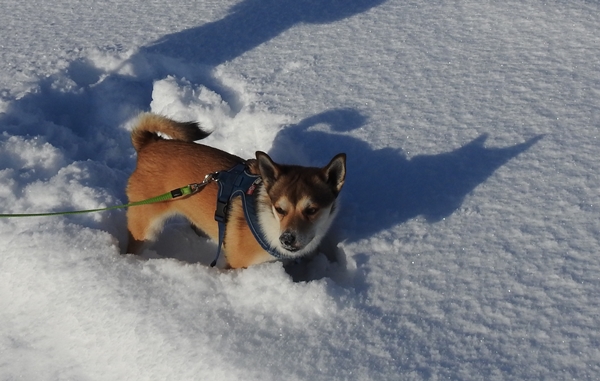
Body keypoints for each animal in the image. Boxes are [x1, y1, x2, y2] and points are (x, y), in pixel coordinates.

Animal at [125, 113, 346, 268]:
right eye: (280, 209)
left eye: (312, 210)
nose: (287, 239)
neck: (270, 221)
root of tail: (149, 143)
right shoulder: (236, 266)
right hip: (146, 226)